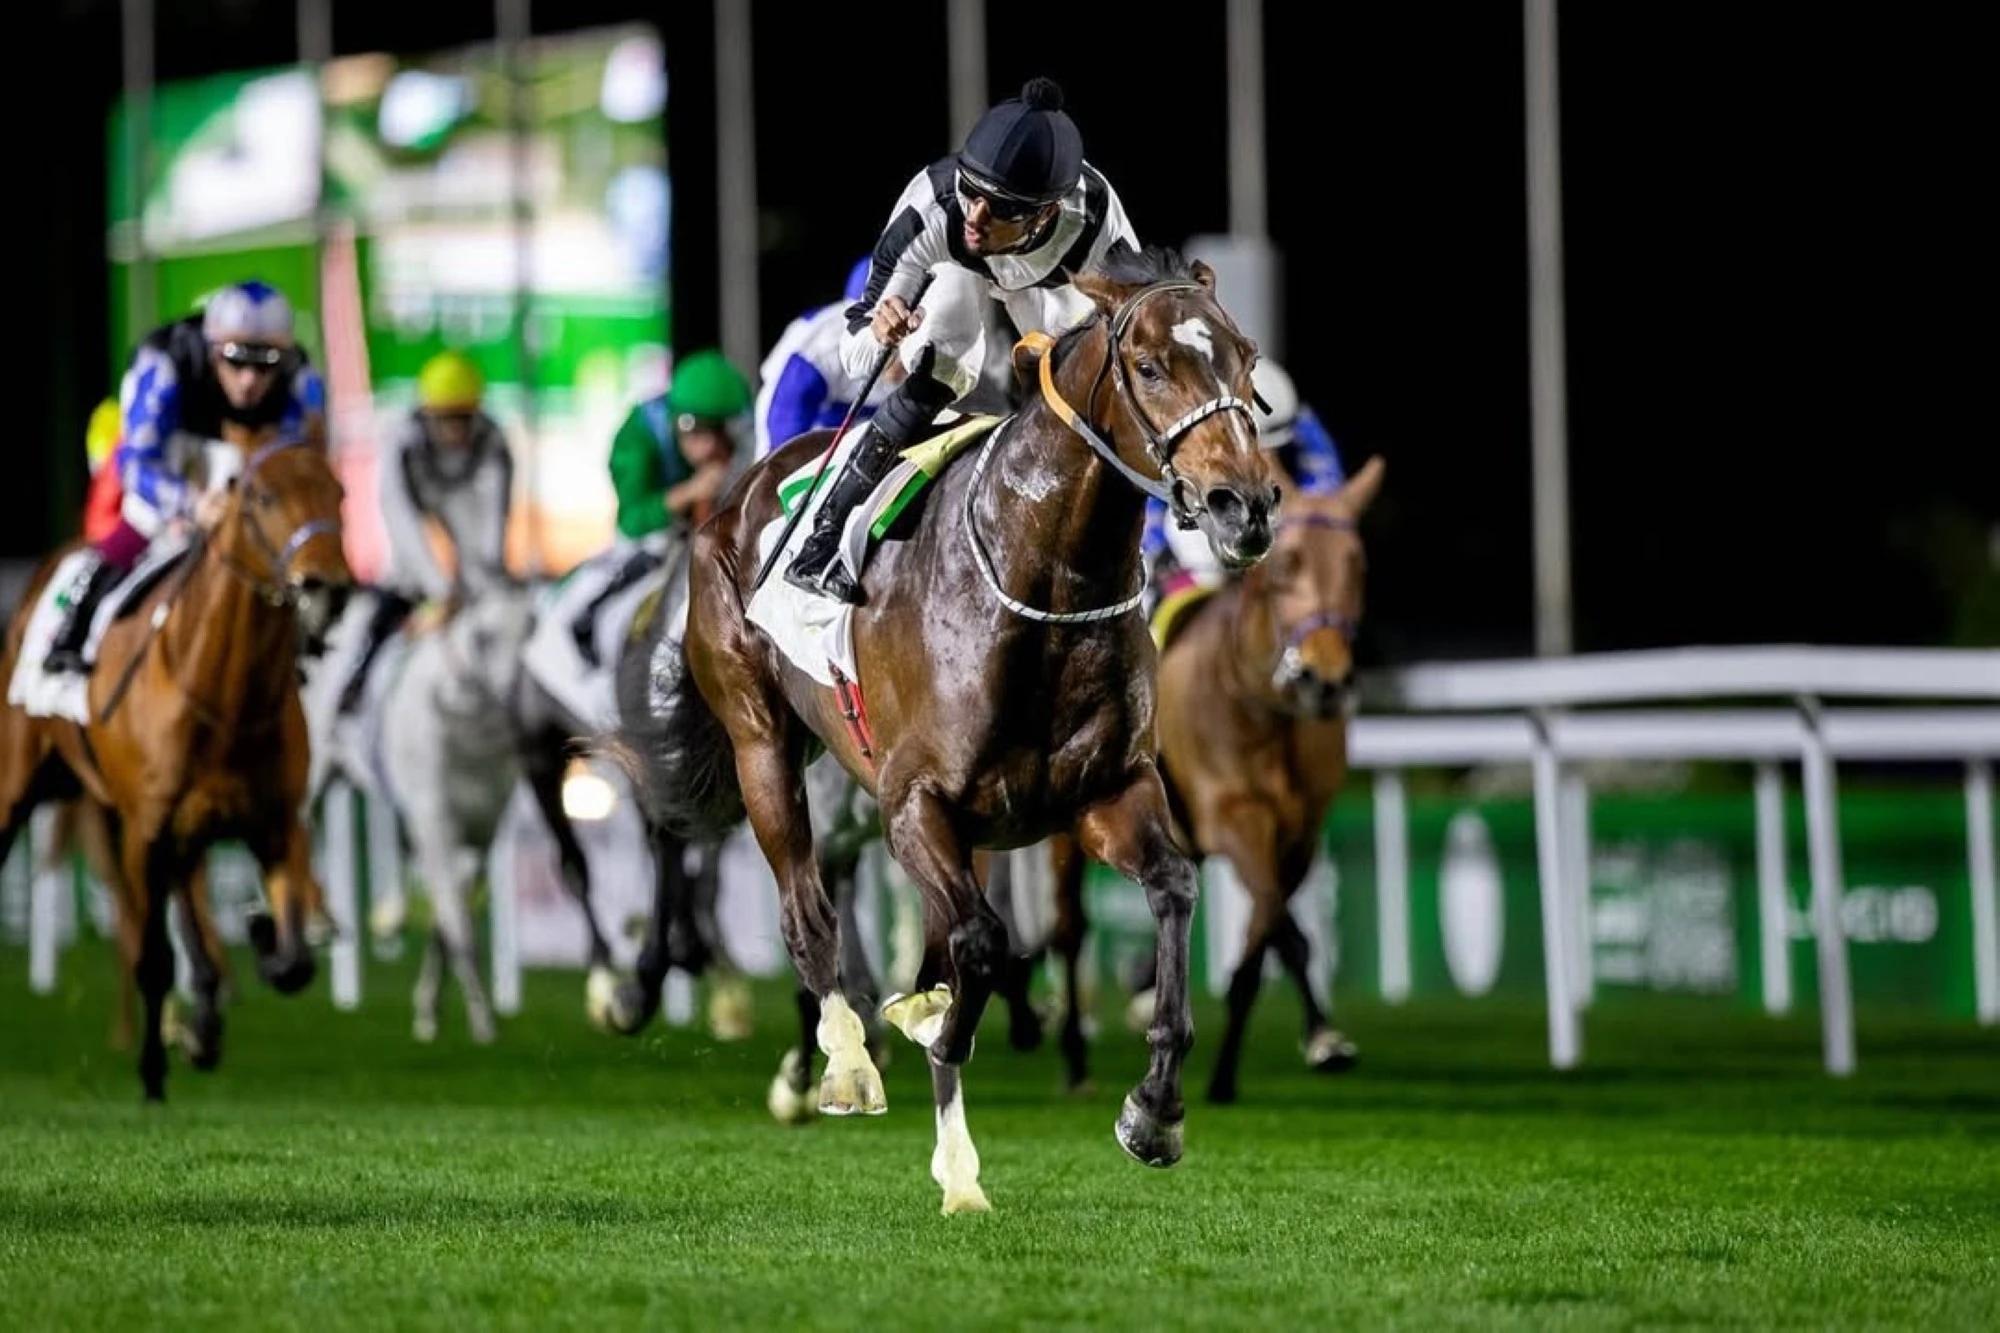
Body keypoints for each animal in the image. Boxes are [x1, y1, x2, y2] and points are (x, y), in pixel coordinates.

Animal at [0, 432, 351, 1100]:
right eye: (263, 497)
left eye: (339, 492)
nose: (327, 586)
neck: (224, 697)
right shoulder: (145, 829)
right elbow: (155, 958)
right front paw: (154, 1069)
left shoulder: (275, 823)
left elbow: (292, 962)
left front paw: (260, 941)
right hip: (18, 786)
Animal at [305, 580, 537, 1042]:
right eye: (483, 636)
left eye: (531, 630)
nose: (513, 696)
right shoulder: (436, 824)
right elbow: (456, 923)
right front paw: (483, 1018)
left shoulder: (479, 833)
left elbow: (448, 919)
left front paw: (430, 1007)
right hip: (311, 770)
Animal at [620, 246, 1278, 1213]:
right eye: (1152, 365)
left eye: (1247, 357)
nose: (1247, 504)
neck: (1045, 578)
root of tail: (744, 492)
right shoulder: (913, 804)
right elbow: (978, 943)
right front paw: (922, 1043)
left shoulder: (1106, 794)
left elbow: (1171, 889)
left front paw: (1154, 1109)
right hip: (762, 746)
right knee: (806, 909)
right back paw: (846, 1061)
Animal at [1046, 462, 1384, 1101]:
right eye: (1287, 562)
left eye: (1357, 561)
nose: (1324, 681)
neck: (1261, 706)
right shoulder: (1234, 817)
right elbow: (1280, 926)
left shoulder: (1300, 831)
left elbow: (1267, 937)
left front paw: (1268, 1055)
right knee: (1070, 928)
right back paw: (1074, 1058)